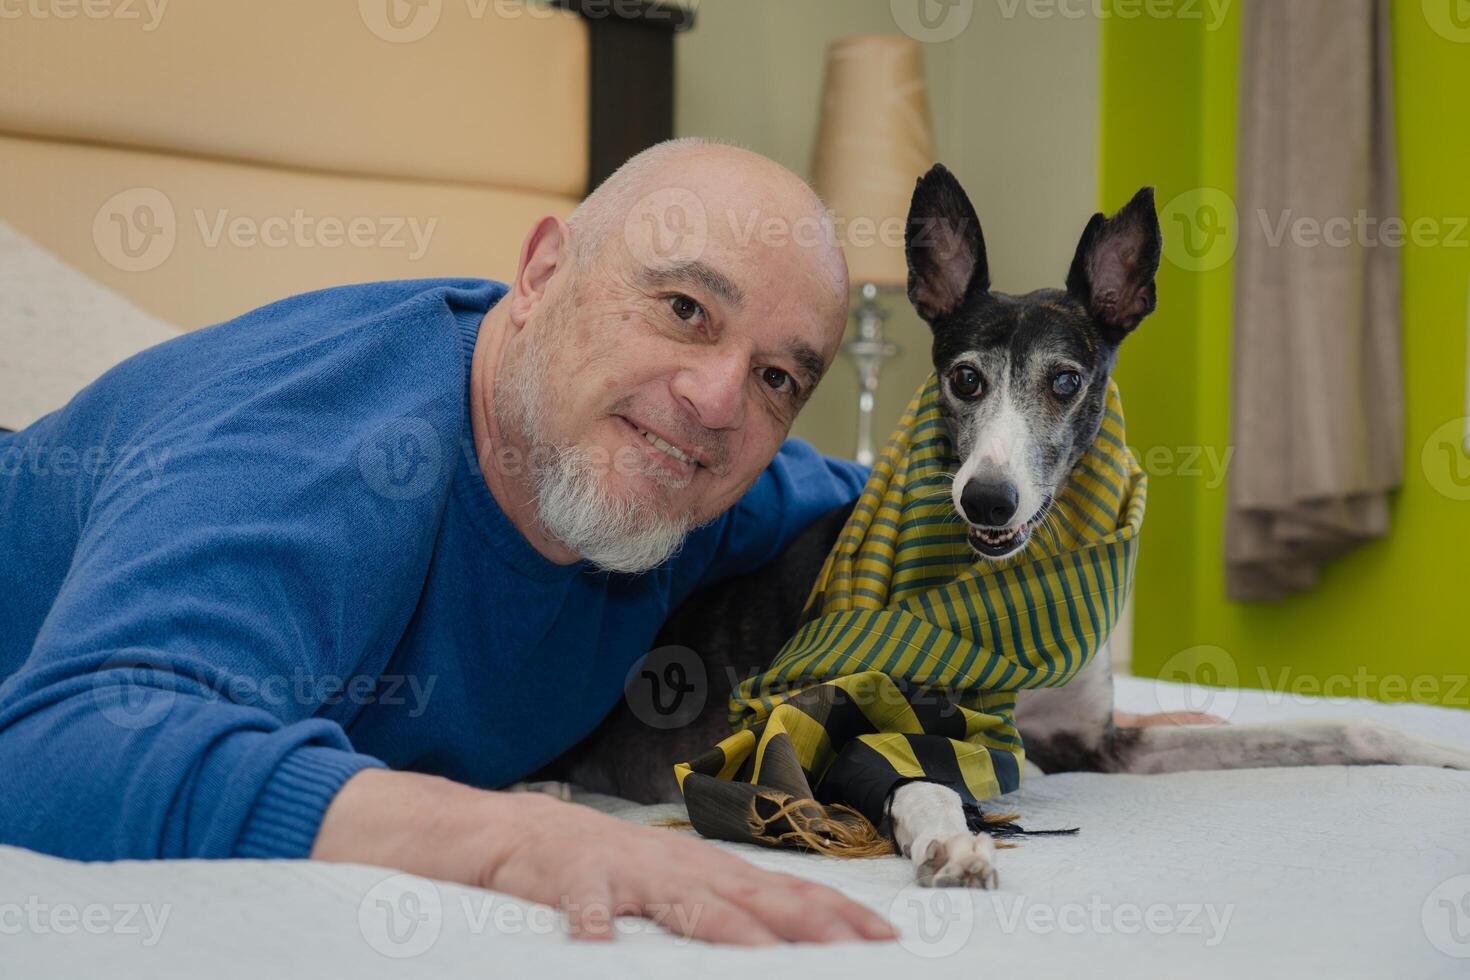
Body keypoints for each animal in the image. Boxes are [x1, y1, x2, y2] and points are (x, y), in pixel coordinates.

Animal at [549, 166, 1470, 887]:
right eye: (964, 379)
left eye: (1066, 381)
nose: (987, 501)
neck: (1011, 587)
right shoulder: (827, 723)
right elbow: (910, 774)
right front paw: (951, 842)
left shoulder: (1093, 742)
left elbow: (1328, 727)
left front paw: (1437, 748)